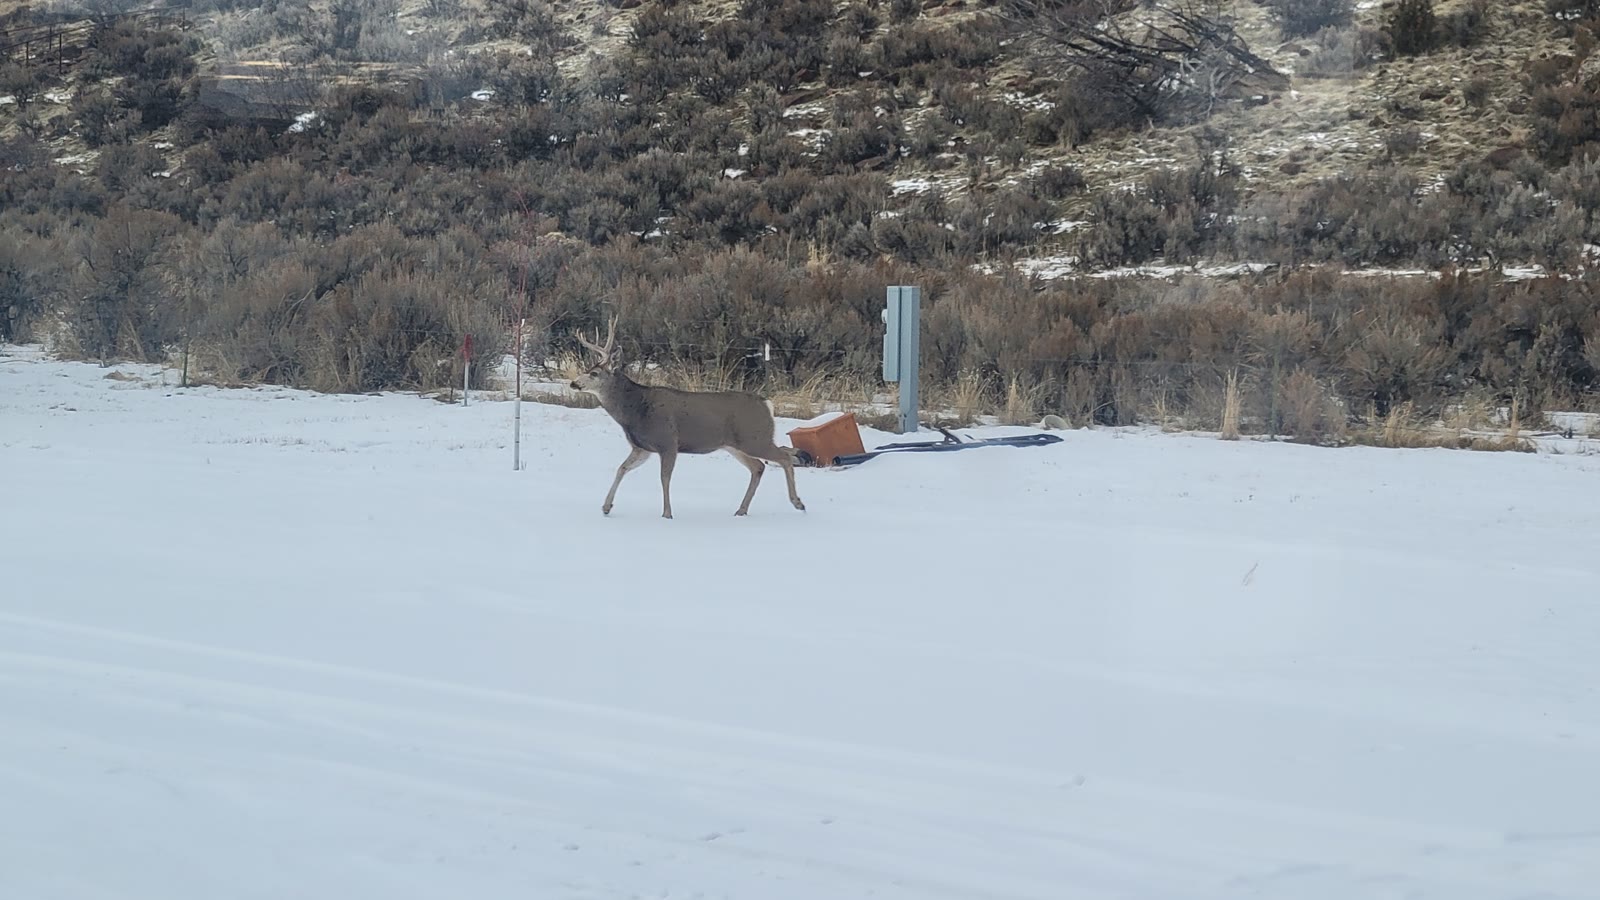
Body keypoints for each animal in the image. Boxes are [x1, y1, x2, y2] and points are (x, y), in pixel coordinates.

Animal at [568, 316, 806, 520]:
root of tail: (767, 404)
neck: (636, 410)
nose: (573, 383)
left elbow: (664, 478)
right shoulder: (642, 447)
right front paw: (606, 507)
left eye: (594, 374)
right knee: (758, 467)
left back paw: (798, 503)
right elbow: (622, 468)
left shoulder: (667, 441)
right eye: (587, 369)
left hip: (755, 438)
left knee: (784, 457)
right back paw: (741, 510)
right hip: (735, 444)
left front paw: (667, 514)